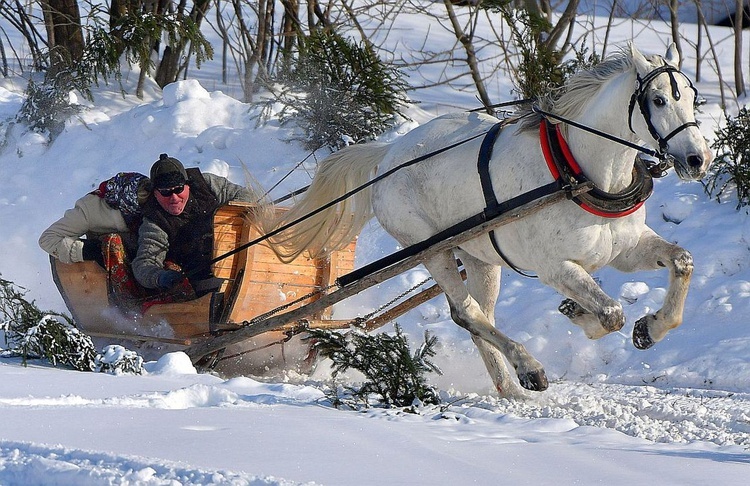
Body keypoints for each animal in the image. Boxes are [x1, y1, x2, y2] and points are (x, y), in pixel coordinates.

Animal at [272, 43, 716, 396]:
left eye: (692, 97)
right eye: (658, 100)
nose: (698, 159)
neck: (582, 173)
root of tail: (386, 155)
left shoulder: (624, 251)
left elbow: (682, 261)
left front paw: (649, 328)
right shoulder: (555, 267)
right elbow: (611, 313)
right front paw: (585, 317)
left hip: (481, 258)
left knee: (478, 317)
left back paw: (510, 389)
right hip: (431, 250)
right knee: (467, 312)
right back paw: (529, 370)